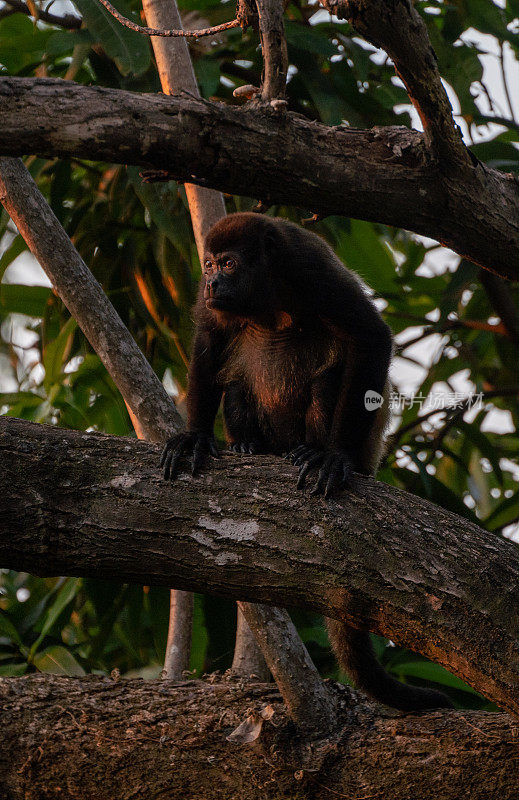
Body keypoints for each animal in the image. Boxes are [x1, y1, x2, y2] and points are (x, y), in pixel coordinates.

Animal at [160, 214, 452, 712]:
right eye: (208, 265)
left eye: (229, 263)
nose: (212, 282)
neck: (268, 287)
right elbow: (210, 343)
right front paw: (195, 435)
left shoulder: (310, 268)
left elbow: (370, 334)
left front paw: (335, 458)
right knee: (236, 384)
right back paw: (250, 448)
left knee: (329, 378)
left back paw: (315, 452)